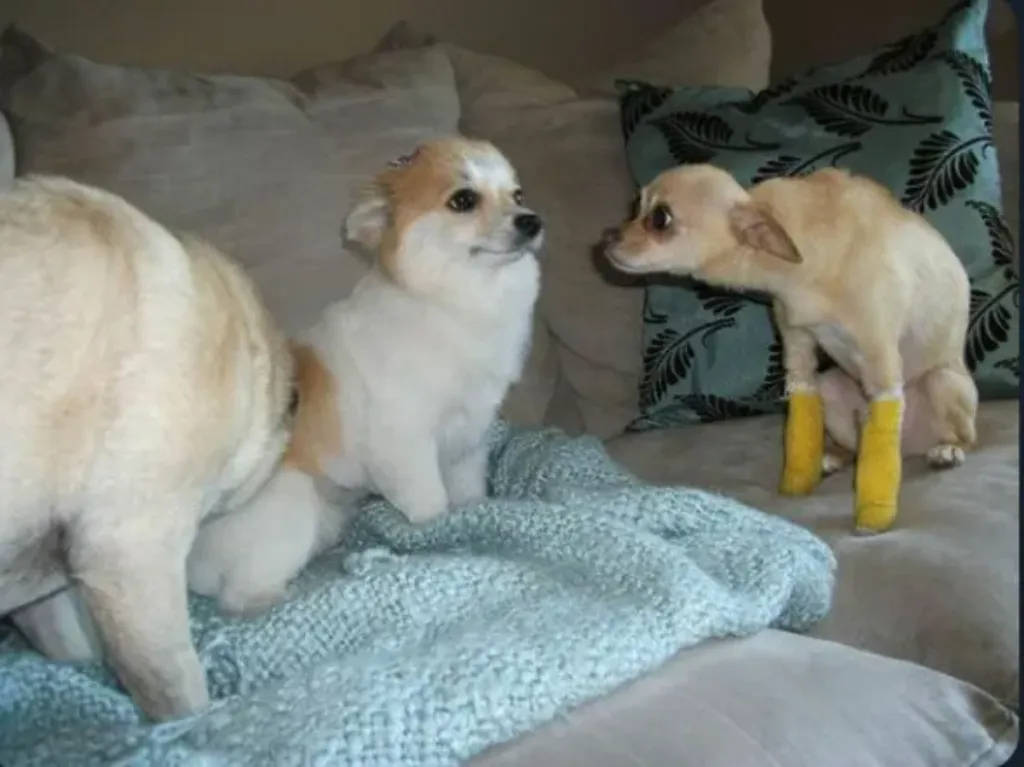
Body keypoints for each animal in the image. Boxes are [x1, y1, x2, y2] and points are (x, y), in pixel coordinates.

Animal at [185, 137, 544, 614]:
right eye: (464, 200)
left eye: (518, 195)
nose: (532, 220)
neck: (457, 303)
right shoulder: (406, 446)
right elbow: (431, 501)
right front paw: (439, 534)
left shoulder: (467, 441)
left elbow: (468, 492)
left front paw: (477, 515)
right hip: (292, 503)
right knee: (237, 596)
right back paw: (282, 597)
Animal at [602, 161, 978, 532]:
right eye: (635, 207)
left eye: (660, 219)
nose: (606, 237)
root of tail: (910, 448)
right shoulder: (800, 361)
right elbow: (801, 427)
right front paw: (798, 479)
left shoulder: (883, 372)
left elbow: (879, 452)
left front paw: (874, 510)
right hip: (831, 387)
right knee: (859, 446)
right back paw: (834, 456)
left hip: (943, 383)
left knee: (961, 437)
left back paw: (948, 451)